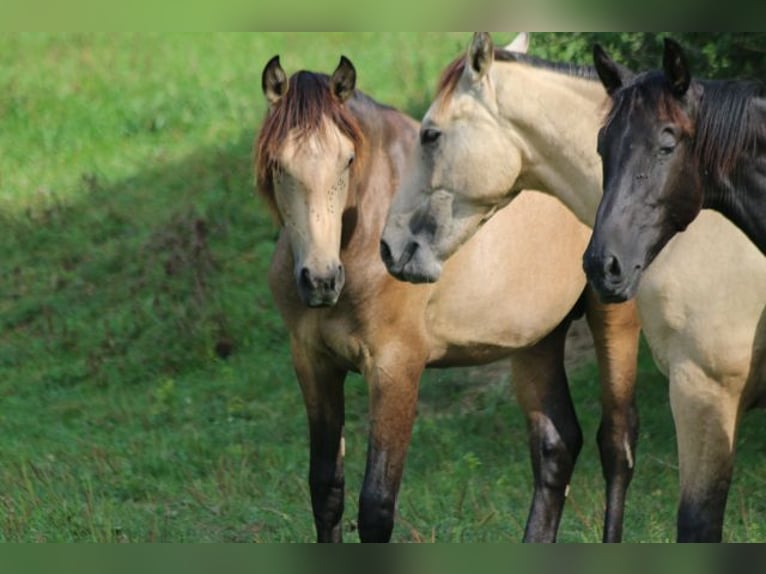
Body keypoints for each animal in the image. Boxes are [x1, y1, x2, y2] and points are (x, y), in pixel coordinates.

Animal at [258, 54, 640, 544]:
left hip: (616, 322)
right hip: (536, 342)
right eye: (277, 163)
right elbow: (325, 491)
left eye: (348, 159)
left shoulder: (396, 369)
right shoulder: (314, 364)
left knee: (617, 444)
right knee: (556, 447)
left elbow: (376, 507)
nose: (321, 280)